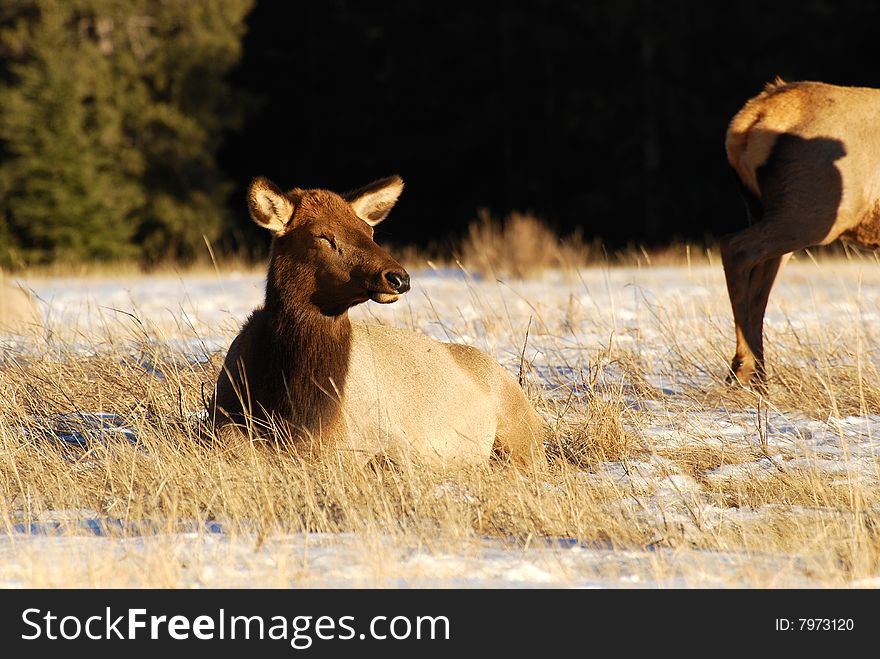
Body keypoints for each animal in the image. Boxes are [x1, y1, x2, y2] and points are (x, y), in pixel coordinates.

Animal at [720, 77, 880, 386]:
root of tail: (748, 121)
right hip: (815, 210)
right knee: (735, 247)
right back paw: (746, 370)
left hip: (768, 208)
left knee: (760, 284)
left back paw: (752, 373)